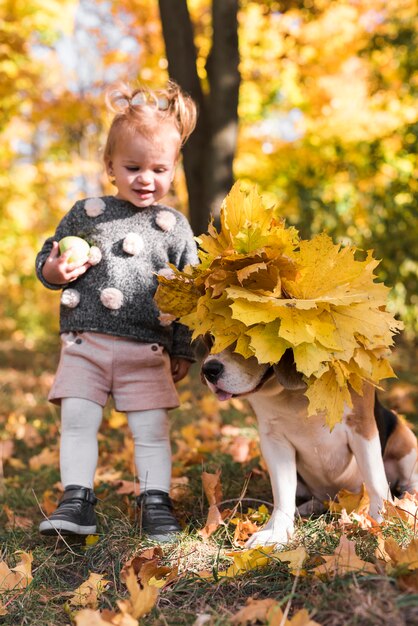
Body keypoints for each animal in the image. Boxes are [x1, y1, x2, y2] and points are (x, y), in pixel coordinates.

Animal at [202, 344, 418, 544]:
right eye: (211, 338)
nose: (209, 369)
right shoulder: (274, 440)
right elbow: (282, 491)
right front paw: (275, 532)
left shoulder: (361, 425)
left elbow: (375, 479)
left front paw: (382, 517)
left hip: (404, 438)